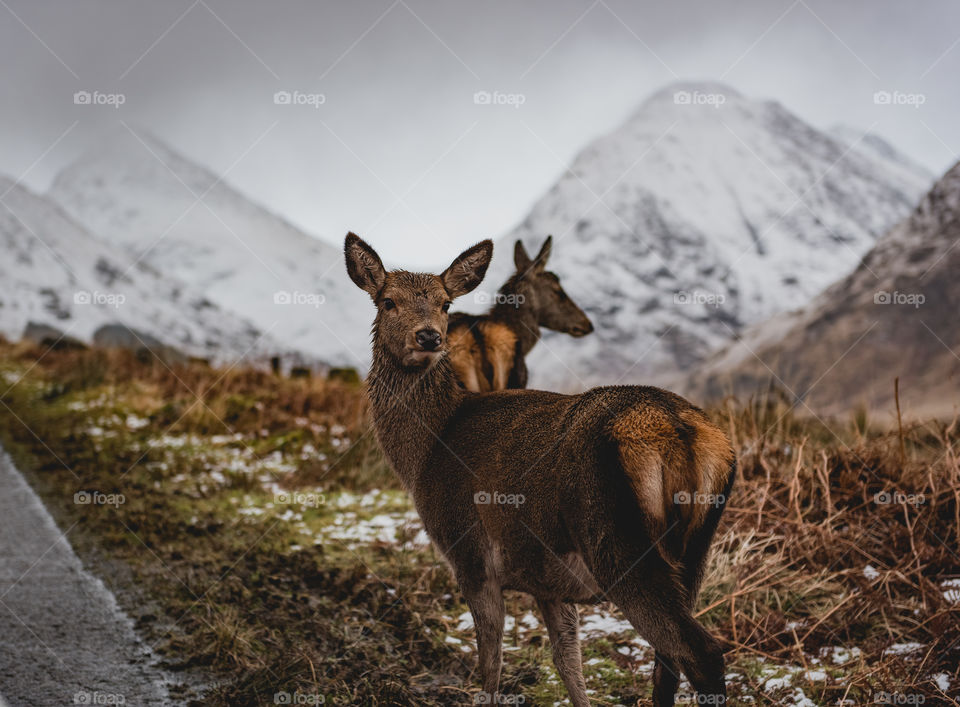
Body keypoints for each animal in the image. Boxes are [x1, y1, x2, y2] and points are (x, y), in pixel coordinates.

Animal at [344, 234, 736, 707]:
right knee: (667, 664)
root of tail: (682, 435)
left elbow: (491, 662)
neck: (425, 451)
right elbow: (569, 664)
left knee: (701, 652)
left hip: (614, 541)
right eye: (388, 301)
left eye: (444, 303)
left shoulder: (470, 554)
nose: (429, 336)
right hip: (695, 553)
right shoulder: (548, 584)